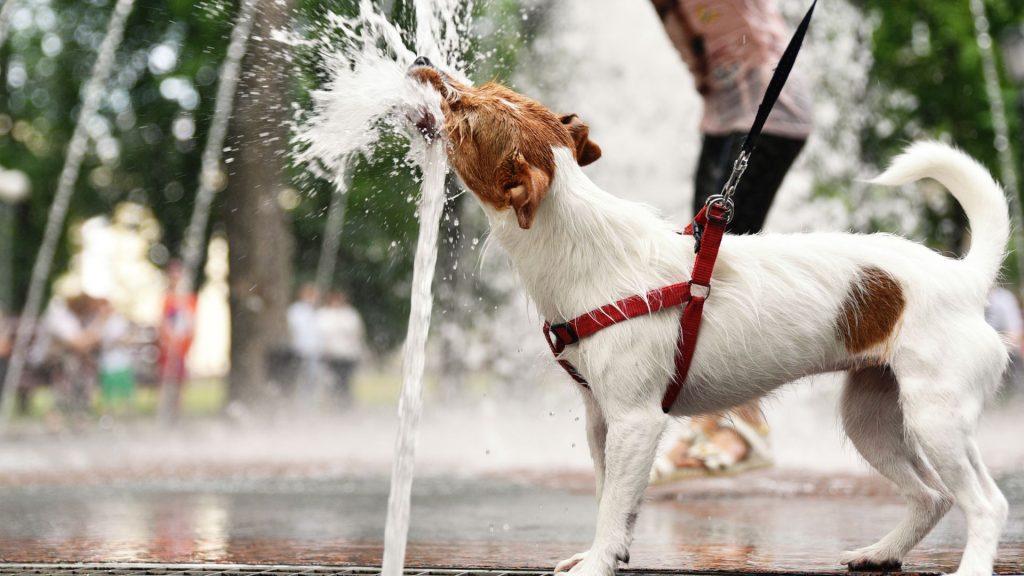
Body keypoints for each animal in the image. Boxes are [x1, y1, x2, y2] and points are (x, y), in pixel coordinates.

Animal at [405, 57, 1007, 573]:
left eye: (465, 115)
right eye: (485, 88)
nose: (421, 63)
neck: (584, 244)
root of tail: (964, 277)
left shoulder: (637, 420)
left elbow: (613, 502)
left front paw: (599, 564)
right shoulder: (601, 419)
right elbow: (608, 498)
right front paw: (607, 553)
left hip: (935, 418)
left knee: (985, 503)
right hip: (872, 418)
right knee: (932, 497)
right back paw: (882, 552)